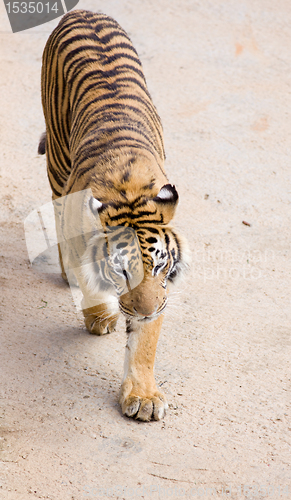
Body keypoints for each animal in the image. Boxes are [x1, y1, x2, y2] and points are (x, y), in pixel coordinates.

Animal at [38, 9, 189, 420]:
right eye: (121, 270)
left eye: (159, 266)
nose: (145, 311)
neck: (130, 192)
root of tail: (81, 11)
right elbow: (91, 282)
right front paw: (100, 317)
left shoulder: (160, 291)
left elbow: (145, 343)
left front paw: (144, 396)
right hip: (58, 163)